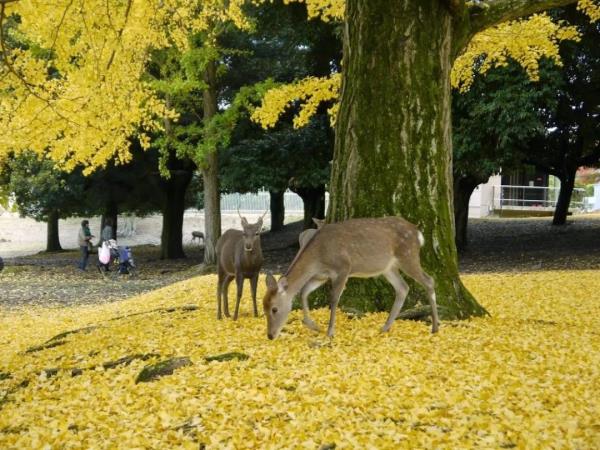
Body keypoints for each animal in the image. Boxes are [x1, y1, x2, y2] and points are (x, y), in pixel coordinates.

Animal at [264, 216, 438, 340]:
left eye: (274, 309)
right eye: (264, 308)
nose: (270, 336)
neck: (318, 258)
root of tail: (418, 233)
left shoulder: (343, 268)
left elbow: (334, 298)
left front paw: (330, 332)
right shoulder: (321, 276)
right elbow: (303, 292)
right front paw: (313, 325)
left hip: (408, 256)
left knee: (429, 281)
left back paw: (435, 327)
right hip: (389, 267)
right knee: (403, 287)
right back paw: (384, 327)